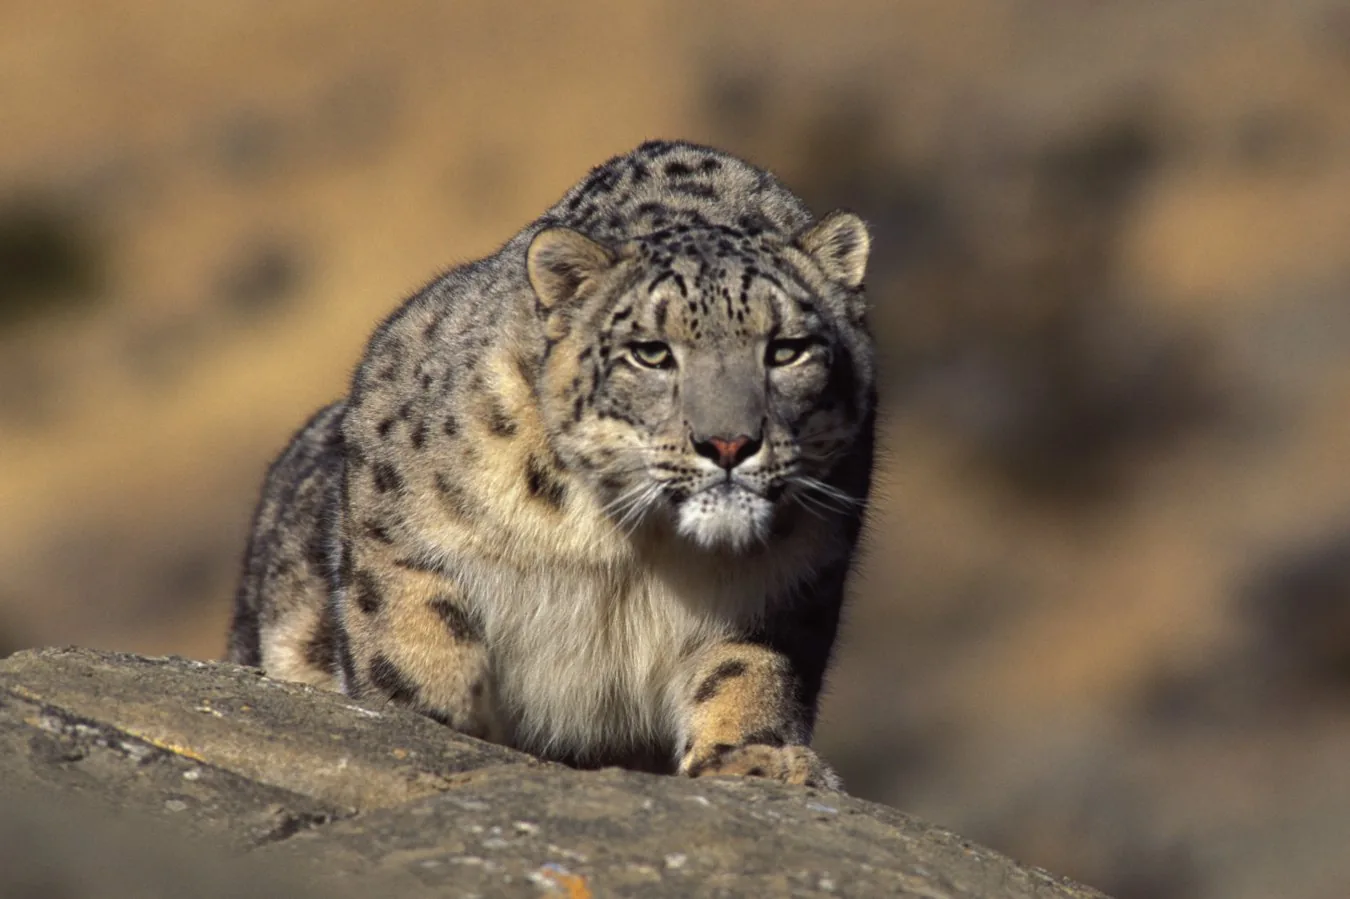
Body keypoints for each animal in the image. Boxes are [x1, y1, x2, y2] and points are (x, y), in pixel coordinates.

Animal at [226, 139, 876, 790]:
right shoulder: (396, 525)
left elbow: (748, 666)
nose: (729, 444)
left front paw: (756, 757)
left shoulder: (789, 582)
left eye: (787, 350)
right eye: (650, 352)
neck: (640, 547)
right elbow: (411, 632)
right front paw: (427, 720)